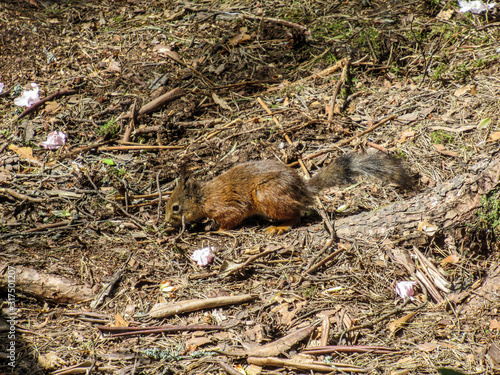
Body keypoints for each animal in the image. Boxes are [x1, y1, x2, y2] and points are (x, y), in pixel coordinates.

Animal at [164, 151, 410, 235]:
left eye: (176, 207)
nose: (166, 221)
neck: (203, 197)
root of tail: (302, 190)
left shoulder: (226, 206)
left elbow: (232, 218)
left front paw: (216, 230)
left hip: (266, 195)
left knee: (296, 215)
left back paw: (280, 227)